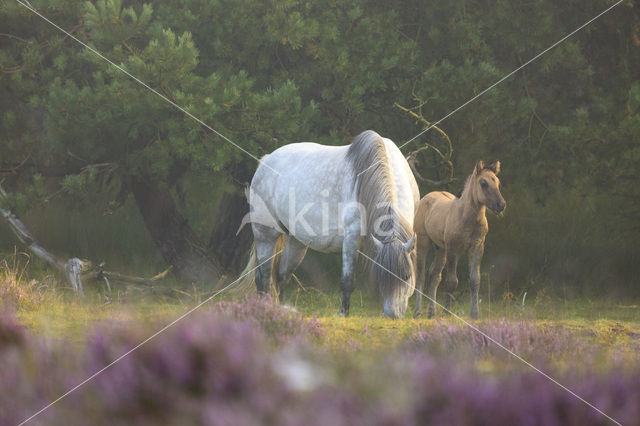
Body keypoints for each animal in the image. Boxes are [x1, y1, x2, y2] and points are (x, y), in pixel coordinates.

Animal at [242, 131, 418, 318]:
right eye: (381, 278)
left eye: (407, 276)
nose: (393, 315)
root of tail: (265, 161)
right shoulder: (351, 239)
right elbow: (347, 280)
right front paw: (343, 314)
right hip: (265, 235)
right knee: (264, 275)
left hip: (296, 242)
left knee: (282, 276)